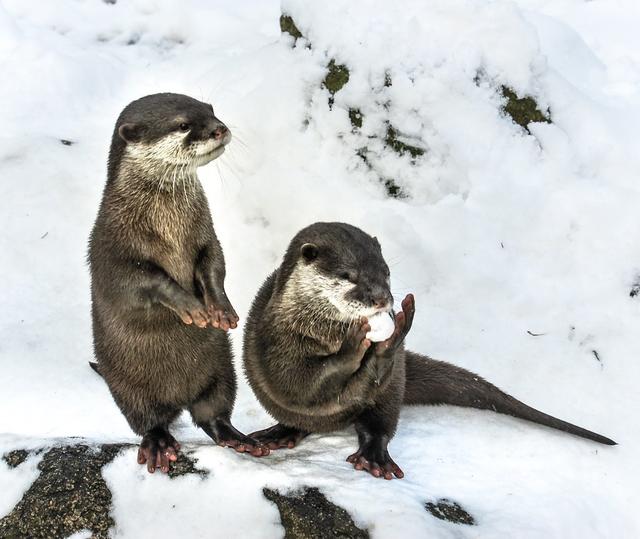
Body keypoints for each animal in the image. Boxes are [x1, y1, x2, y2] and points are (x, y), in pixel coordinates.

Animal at [88, 93, 268, 474]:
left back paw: (238, 438)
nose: (219, 128)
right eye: (183, 124)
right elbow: (145, 281)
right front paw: (193, 308)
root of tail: (179, 397)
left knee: (212, 412)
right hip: (128, 385)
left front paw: (221, 310)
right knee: (148, 419)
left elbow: (214, 263)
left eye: (211, 110)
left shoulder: (205, 234)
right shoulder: (112, 248)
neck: (167, 224)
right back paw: (159, 444)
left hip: (221, 368)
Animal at [242, 222, 615, 480]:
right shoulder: (279, 344)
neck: (313, 327)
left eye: (386, 272)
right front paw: (352, 346)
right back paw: (279, 434)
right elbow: (301, 383)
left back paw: (374, 456)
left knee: (379, 422)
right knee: (300, 418)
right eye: (349, 275)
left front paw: (391, 339)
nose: (382, 298)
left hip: (394, 387)